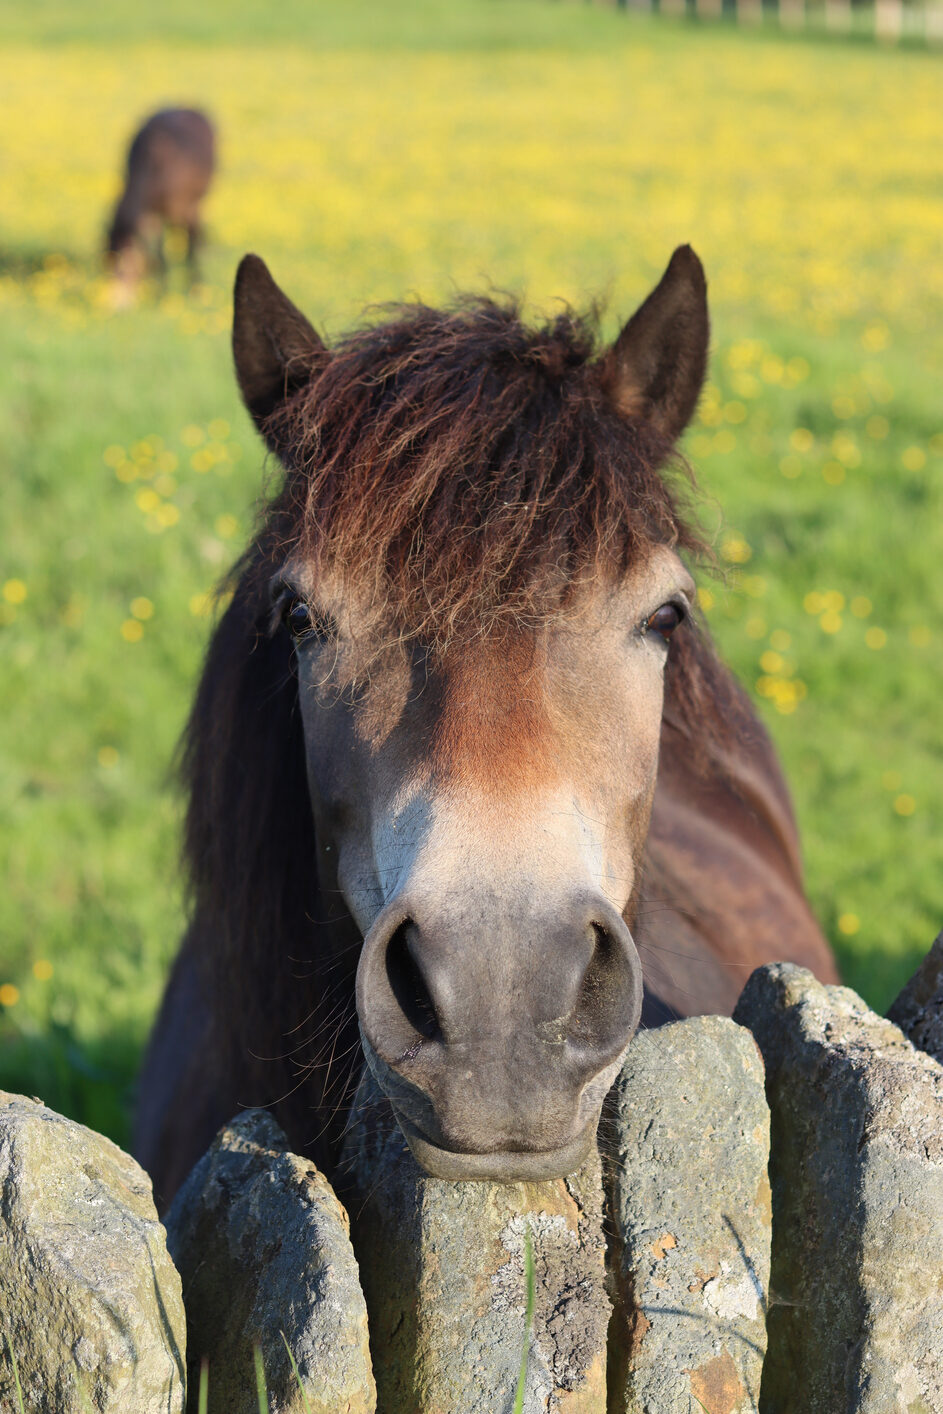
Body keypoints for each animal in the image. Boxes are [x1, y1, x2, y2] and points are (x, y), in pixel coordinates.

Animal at [106, 107, 214, 295]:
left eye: (124, 264)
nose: (118, 298)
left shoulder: (181, 207)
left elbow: (186, 246)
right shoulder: (152, 214)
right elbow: (158, 251)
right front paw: (160, 288)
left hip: (197, 201)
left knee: (192, 236)